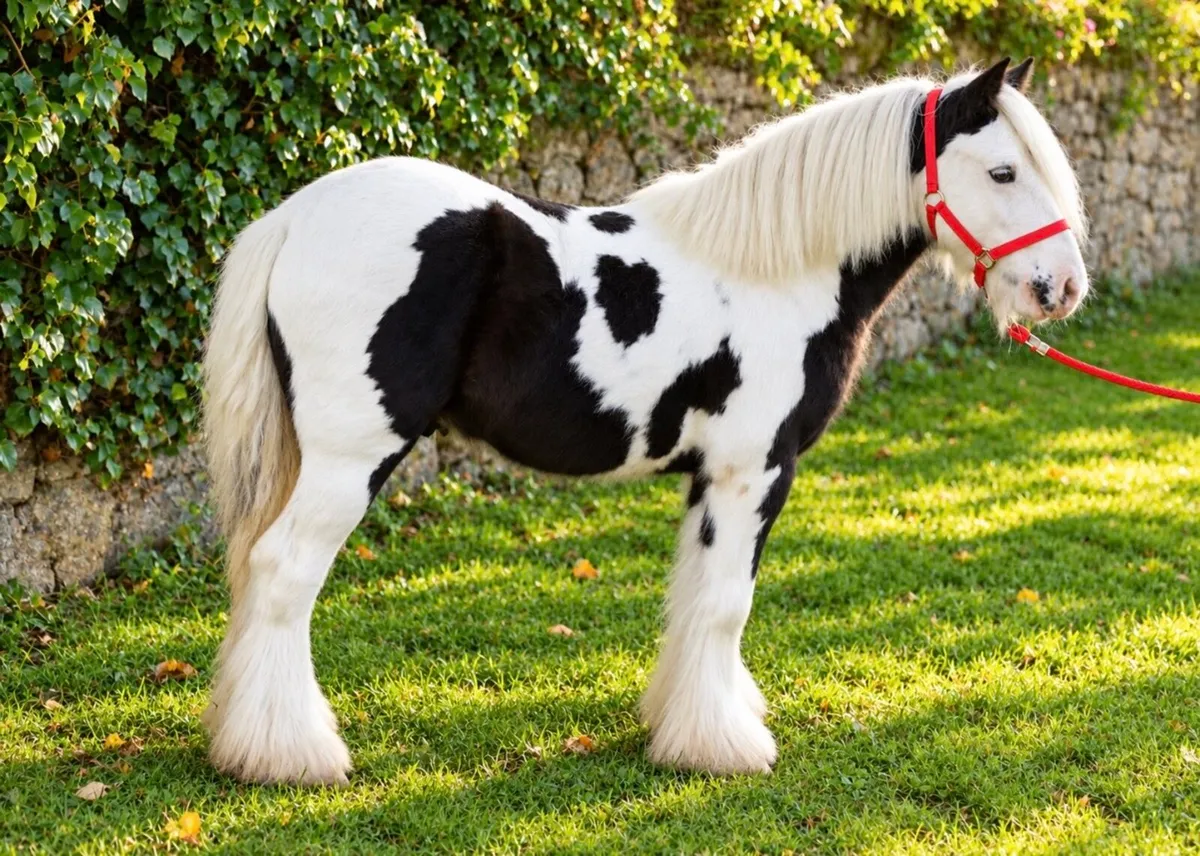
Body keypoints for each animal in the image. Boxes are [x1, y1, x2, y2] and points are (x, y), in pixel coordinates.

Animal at [201, 57, 1088, 785]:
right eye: (1003, 170)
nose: (1062, 288)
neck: (777, 271)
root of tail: (294, 218)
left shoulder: (712, 478)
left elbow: (696, 600)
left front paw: (689, 727)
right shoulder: (754, 470)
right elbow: (727, 604)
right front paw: (725, 749)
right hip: (351, 456)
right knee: (282, 573)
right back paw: (291, 757)